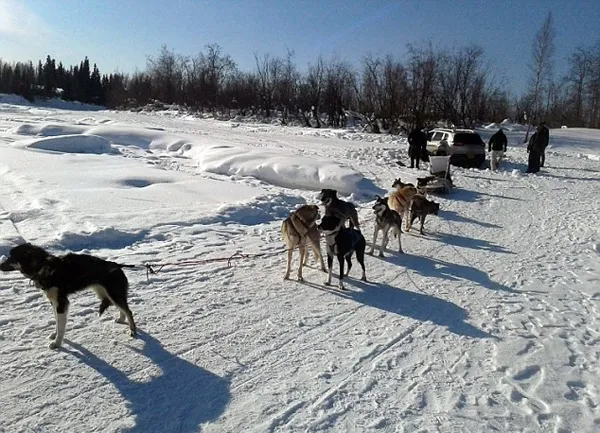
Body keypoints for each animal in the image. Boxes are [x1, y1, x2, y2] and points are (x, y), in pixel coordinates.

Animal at [0, 243, 137, 348]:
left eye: (11, 257)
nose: (0, 265)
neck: (43, 266)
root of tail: (117, 265)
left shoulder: (61, 303)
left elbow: (61, 327)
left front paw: (57, 343)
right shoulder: (54, 303)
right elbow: (56, 321)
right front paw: (54, 335)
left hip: (114, 294)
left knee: (128, 311)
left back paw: (132, 330)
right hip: (106, 294)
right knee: (122, 309)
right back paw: (121, 319)